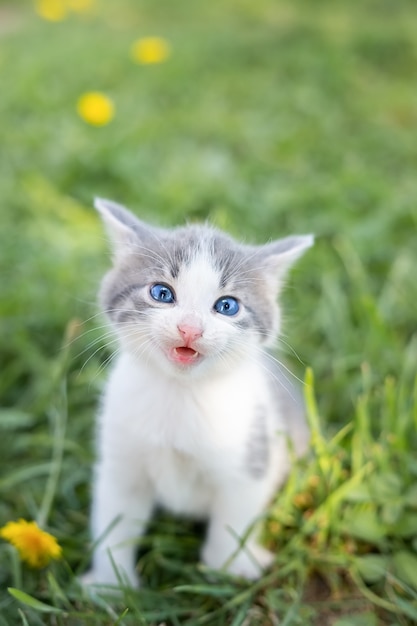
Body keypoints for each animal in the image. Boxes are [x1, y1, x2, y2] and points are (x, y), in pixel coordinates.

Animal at [84, 196, 312, 584]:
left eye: (227, 305)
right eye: (161, 293)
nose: (190, 328)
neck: (181, 394)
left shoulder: (249, 459)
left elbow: (233, 521)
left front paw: (228, 570)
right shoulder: (120, 461)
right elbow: (115, 519)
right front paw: (111, 584)